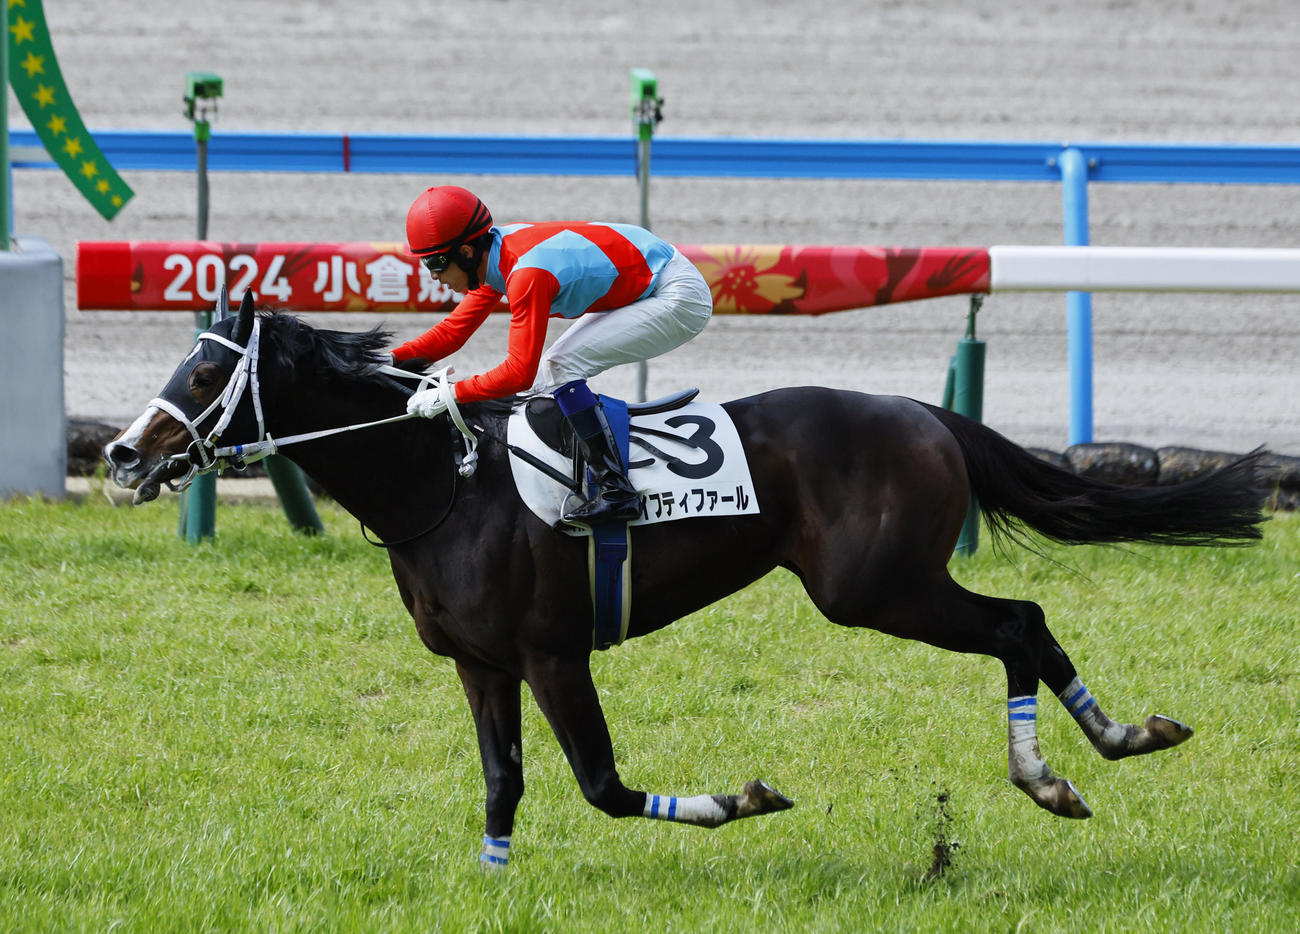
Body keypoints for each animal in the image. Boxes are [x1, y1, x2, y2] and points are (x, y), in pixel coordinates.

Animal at [103, 291, 1267, 868]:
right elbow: (502, 781)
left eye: (202, 373)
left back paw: (1070, 765)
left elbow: (604, 785)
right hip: (886, 586)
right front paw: (491, 880)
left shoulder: (551, 653)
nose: (120, 454)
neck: (445, 484)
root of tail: (921, 411)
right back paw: (1108, 745)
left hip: (876, 588)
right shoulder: (479, 662)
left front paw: (745, 796)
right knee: (1023, 623)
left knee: (1017, 624)